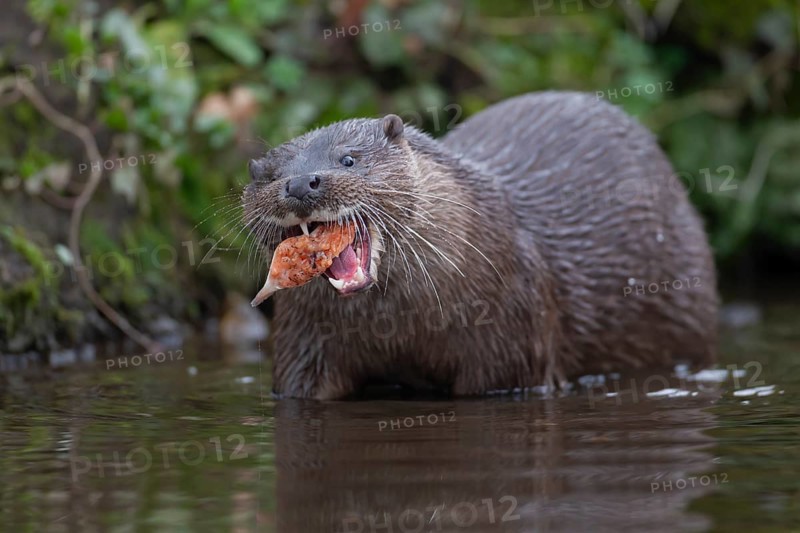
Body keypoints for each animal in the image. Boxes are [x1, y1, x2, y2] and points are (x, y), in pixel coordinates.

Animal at [242, 91, 718, 400]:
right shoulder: (304, 342)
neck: (399, 326)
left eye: (348, 159)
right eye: (269, 176)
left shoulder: (510, 344)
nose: (300, 183)